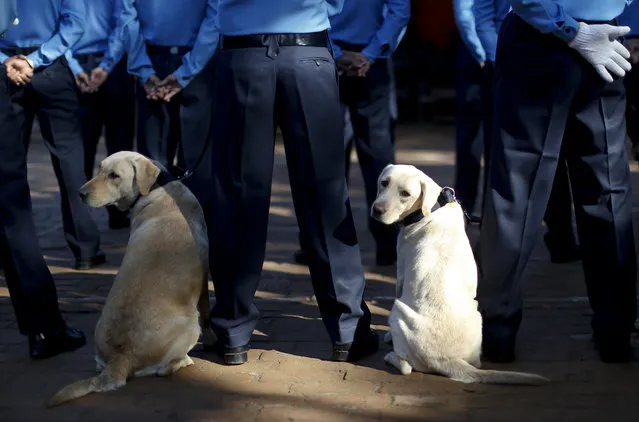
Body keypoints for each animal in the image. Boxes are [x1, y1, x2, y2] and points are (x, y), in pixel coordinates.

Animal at [47, 151, 216, 406]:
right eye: (100, 169)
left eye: (113, 175)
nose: (80, 193)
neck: (158, 188)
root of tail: (121, 357)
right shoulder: (204, 279)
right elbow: (207, 313)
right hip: (190, 322)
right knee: (164, 369)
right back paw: (183, 360)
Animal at [372, 165, 548, 386]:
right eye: (384, 183)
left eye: (405, 194)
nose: (376, 210)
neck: (432, 209)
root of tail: (447, 359)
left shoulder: (401, 274)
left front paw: (387, 336)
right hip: (477, 314)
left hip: (398, 311)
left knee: (406, 367)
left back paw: (392, 357)